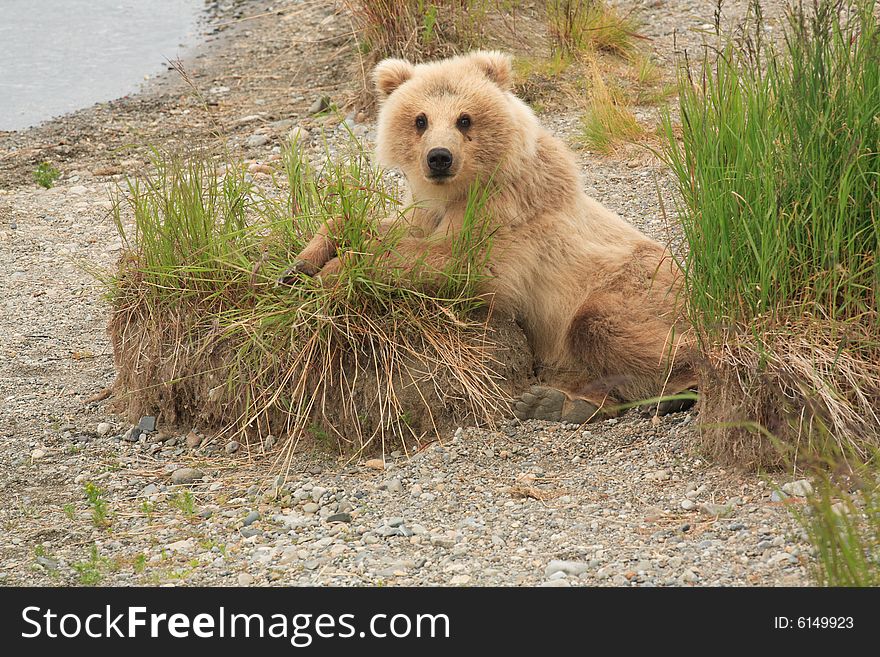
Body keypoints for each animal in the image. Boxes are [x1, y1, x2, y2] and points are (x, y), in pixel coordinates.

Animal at [286, 50, 696, 420]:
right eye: (420, 119)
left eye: (464, 118)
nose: (439, 157)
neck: (458, 191)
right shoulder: (425, 210)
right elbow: (374, 225)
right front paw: (301, 264)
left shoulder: (507, 211)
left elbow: (459, 262)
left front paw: (335, 271)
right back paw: (557, 402)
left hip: (639, 287)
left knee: (606, 327)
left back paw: (676, 390)